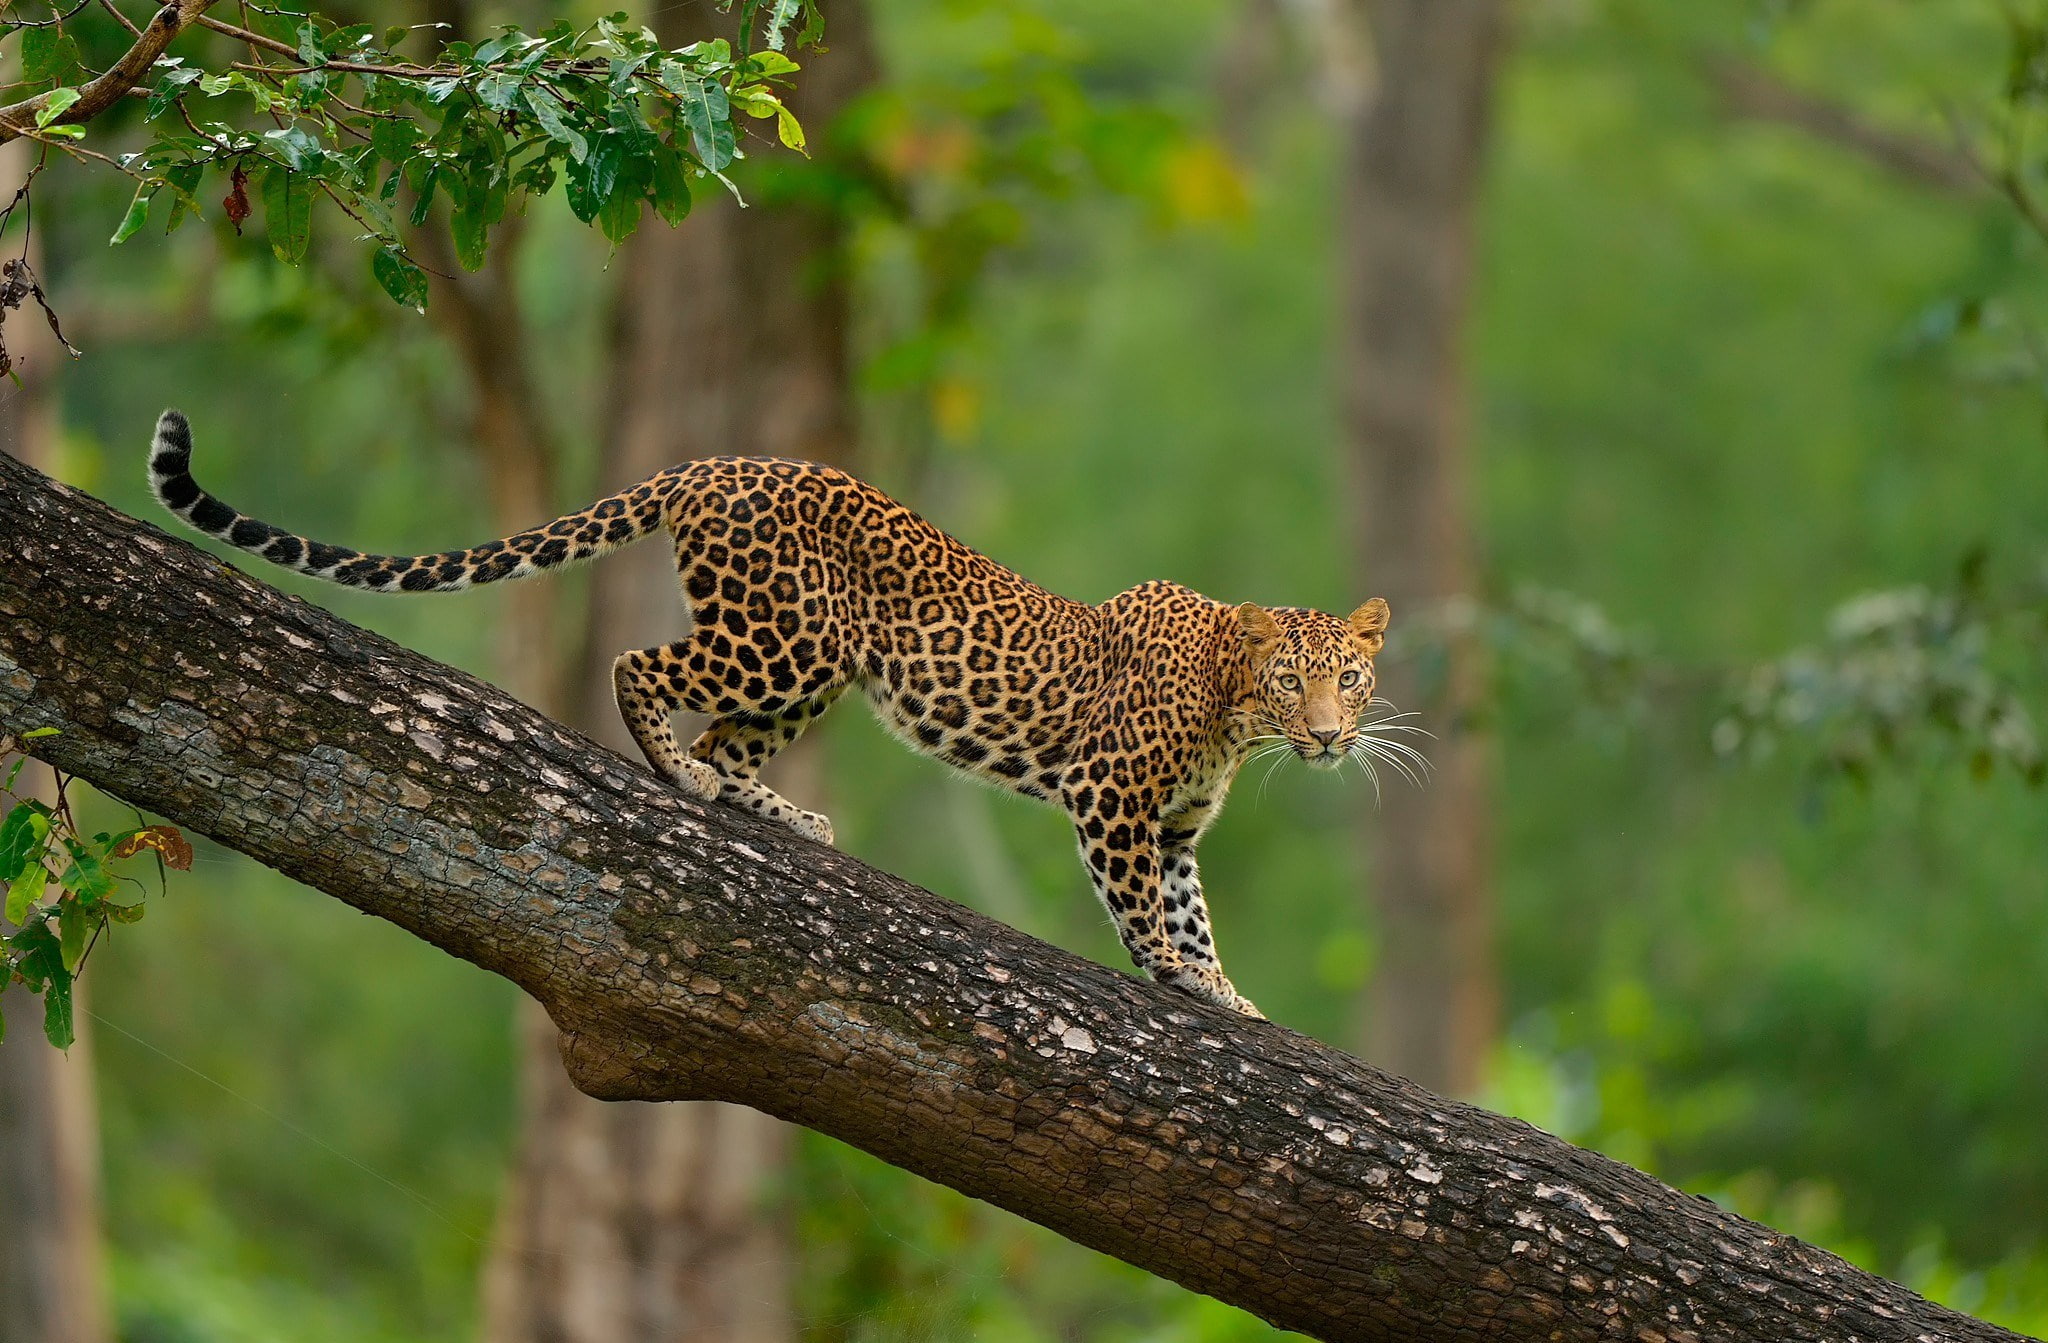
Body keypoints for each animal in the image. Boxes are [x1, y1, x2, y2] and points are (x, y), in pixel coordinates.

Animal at [146, 408, 1406, 1017]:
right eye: (1290, 678)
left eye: (1347, 678)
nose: (1328, 735)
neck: (1232, 714)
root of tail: (710, 465)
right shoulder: (1111, 801)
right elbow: (1147, 912)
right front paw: (1182, 979)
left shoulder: (1174, 826)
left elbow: (1191, 908)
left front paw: (1227, 992)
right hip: (783, 635)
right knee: (640, 665)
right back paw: (679, 775)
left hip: (815, 668)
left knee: (720, 727)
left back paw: (778, 814)